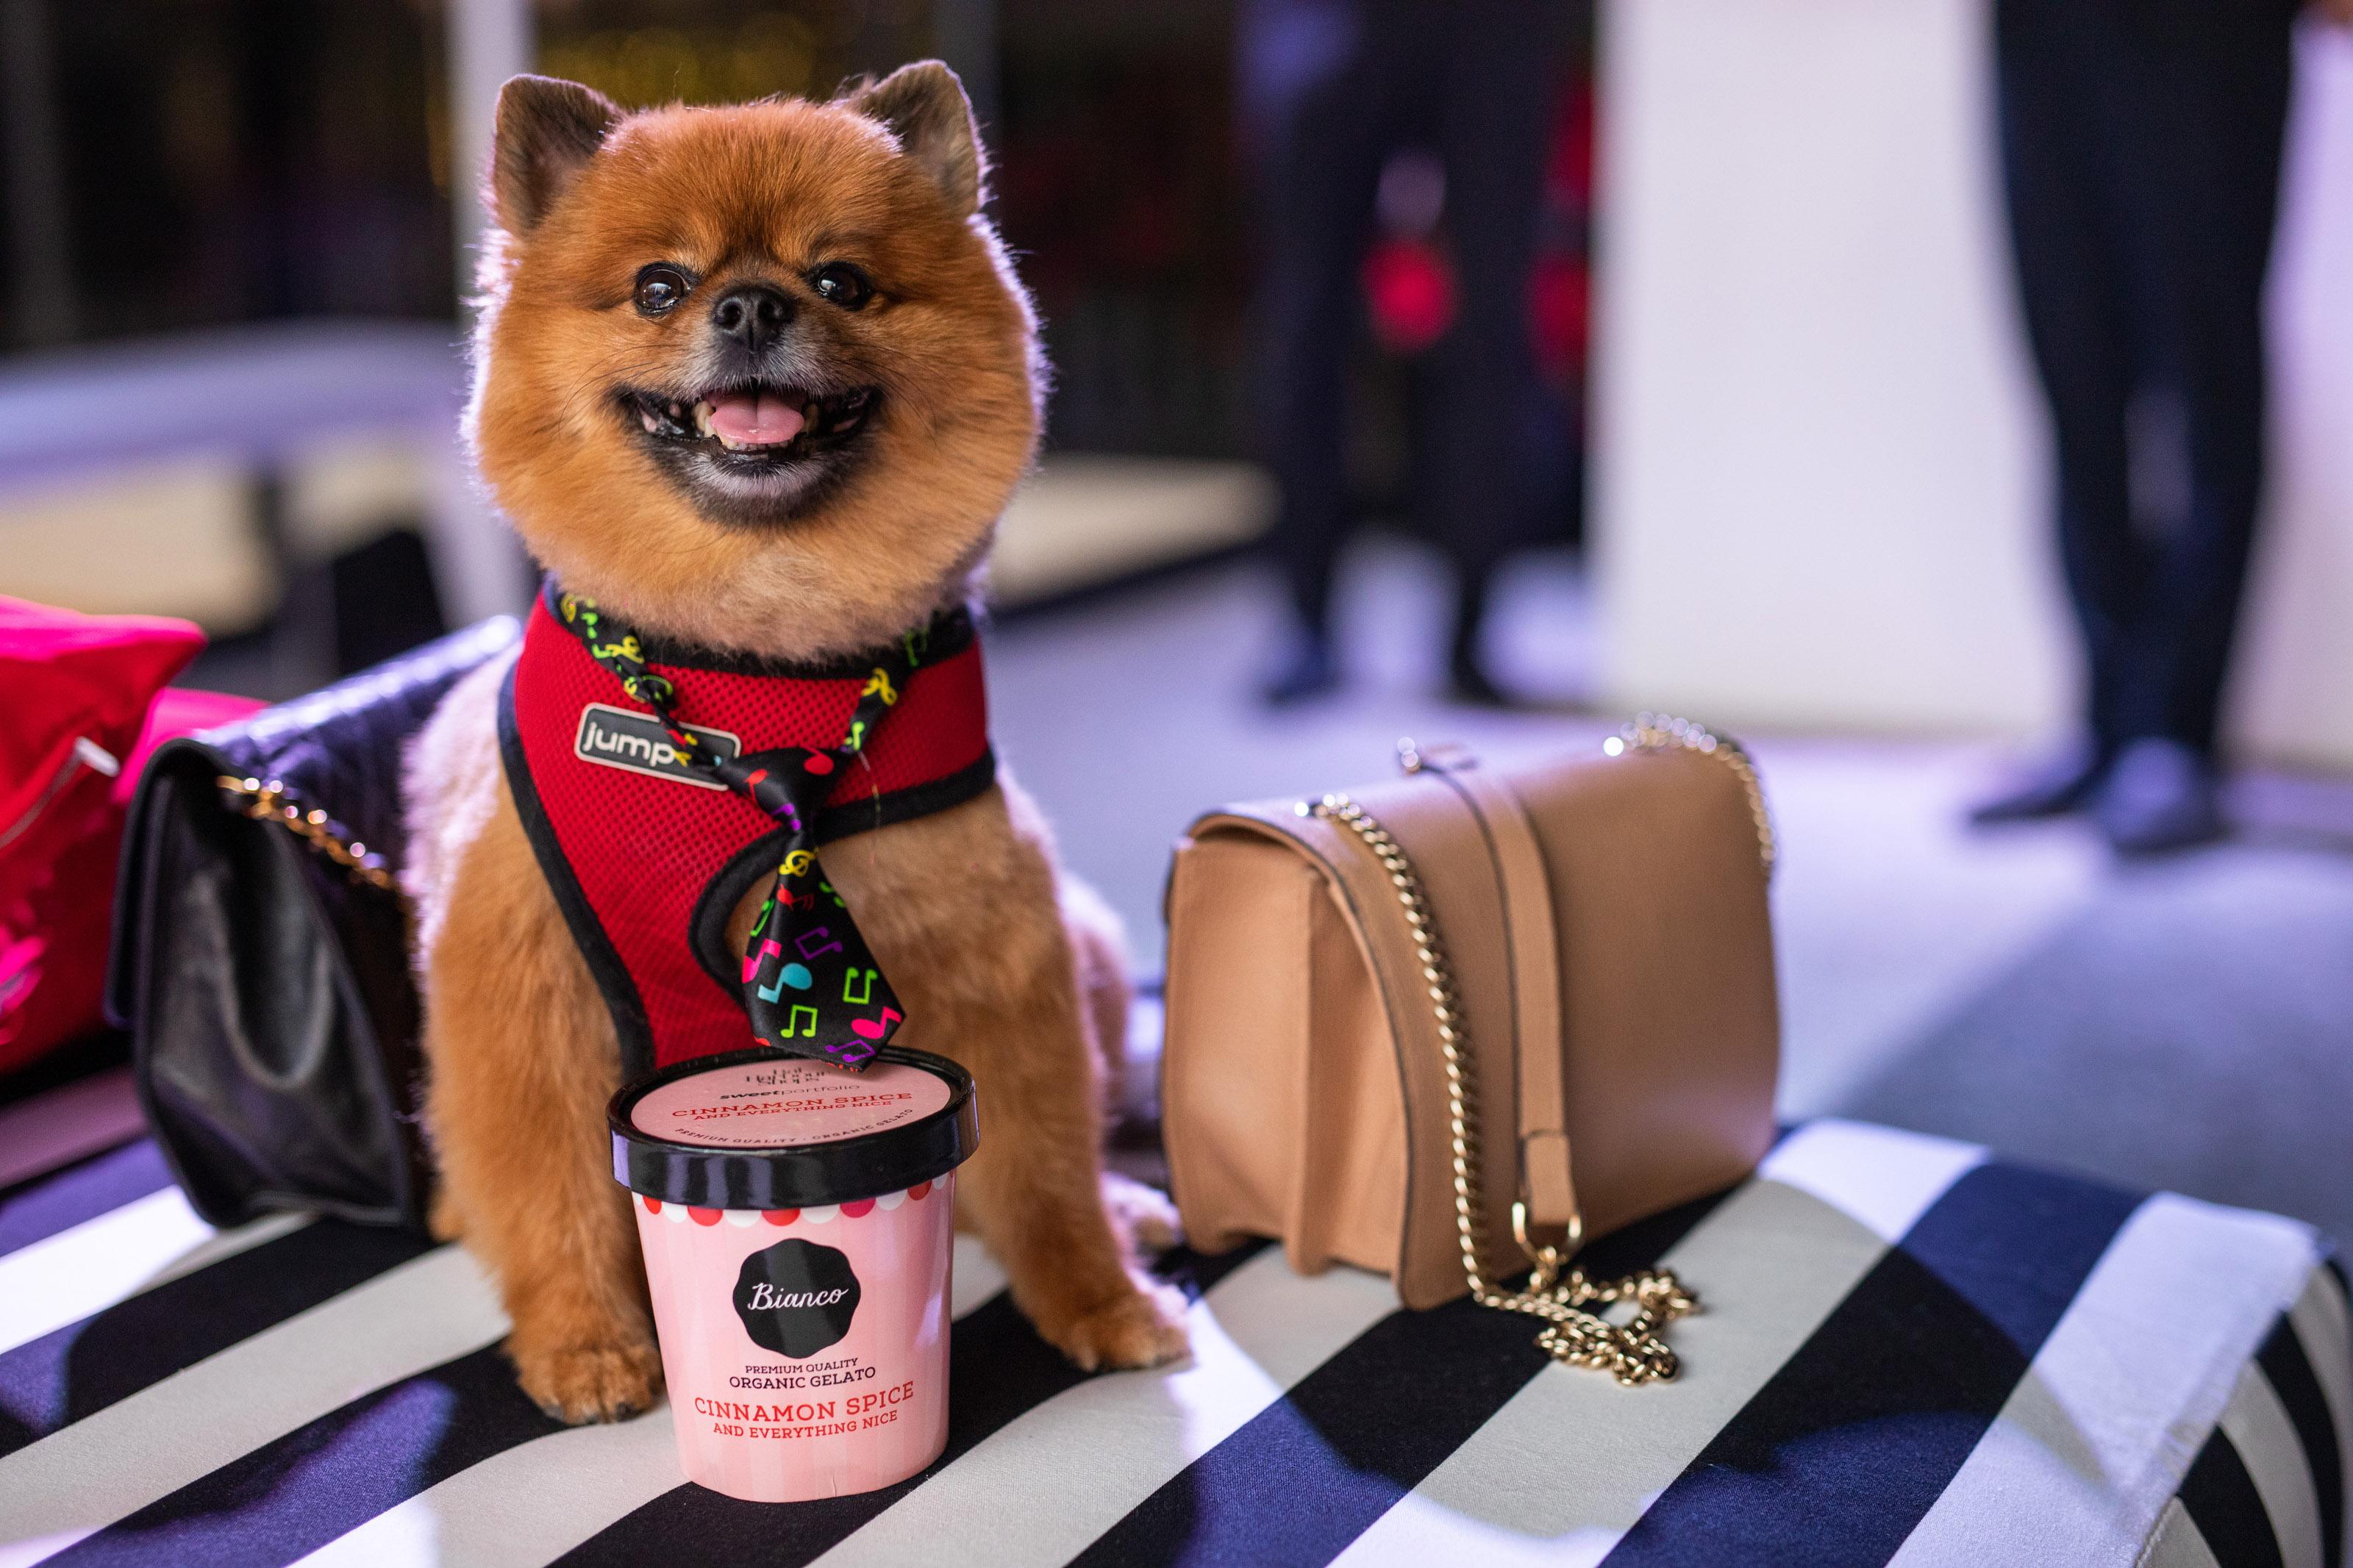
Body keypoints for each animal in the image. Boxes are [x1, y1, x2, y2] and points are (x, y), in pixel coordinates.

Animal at [404, 64, 1195, 1420]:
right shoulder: (522, 993)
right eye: (658, 286)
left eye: (842, 279)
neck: (758, 675)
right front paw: (586, 1342)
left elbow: (1044, 1167)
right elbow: (554, 1192)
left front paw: (1098, 1295)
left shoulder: (1003, 963)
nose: (752, 302)